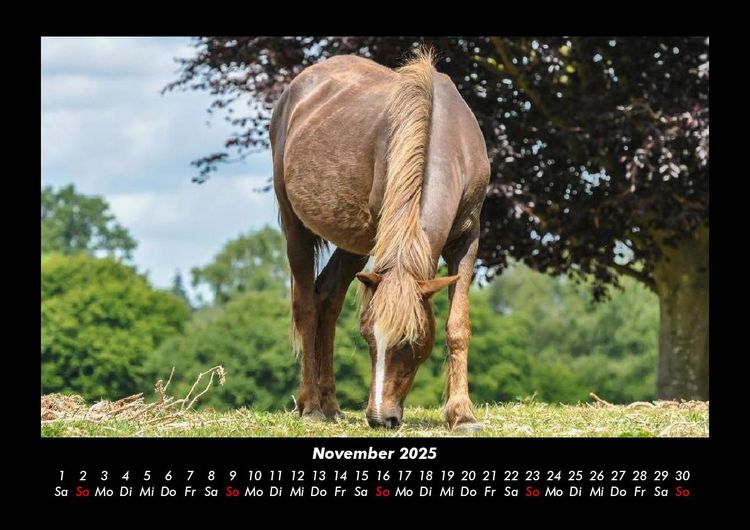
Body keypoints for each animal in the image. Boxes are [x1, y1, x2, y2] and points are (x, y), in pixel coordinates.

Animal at [271, 49, 490, 431]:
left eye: (412, 340)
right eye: (368, 337)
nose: (379, 418)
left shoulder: (468, 239)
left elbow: (457, 325)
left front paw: (462, 415)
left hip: (353, 244)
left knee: (327, 298)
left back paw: (331, 404)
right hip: (296, 226)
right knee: (306, 306)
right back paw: (311, 405)